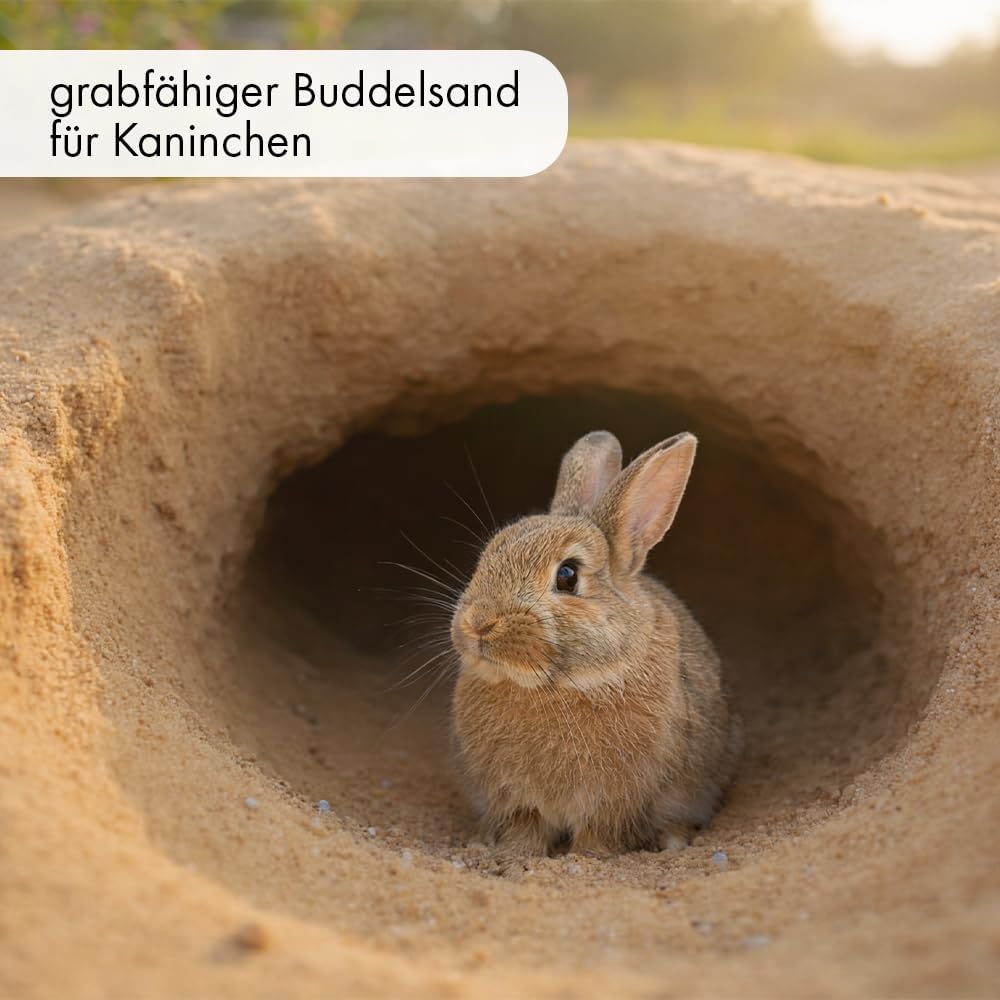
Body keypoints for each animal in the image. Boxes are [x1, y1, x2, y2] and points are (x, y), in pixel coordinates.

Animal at [450, 430, 741, 856]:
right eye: (491, 552)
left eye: (568, 576)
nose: (477, 624)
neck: (559, 686)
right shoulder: (516, 799)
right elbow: (525, 830)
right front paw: (514, 855)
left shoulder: (615, 802)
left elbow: (599, 835)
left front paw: (586, 857)